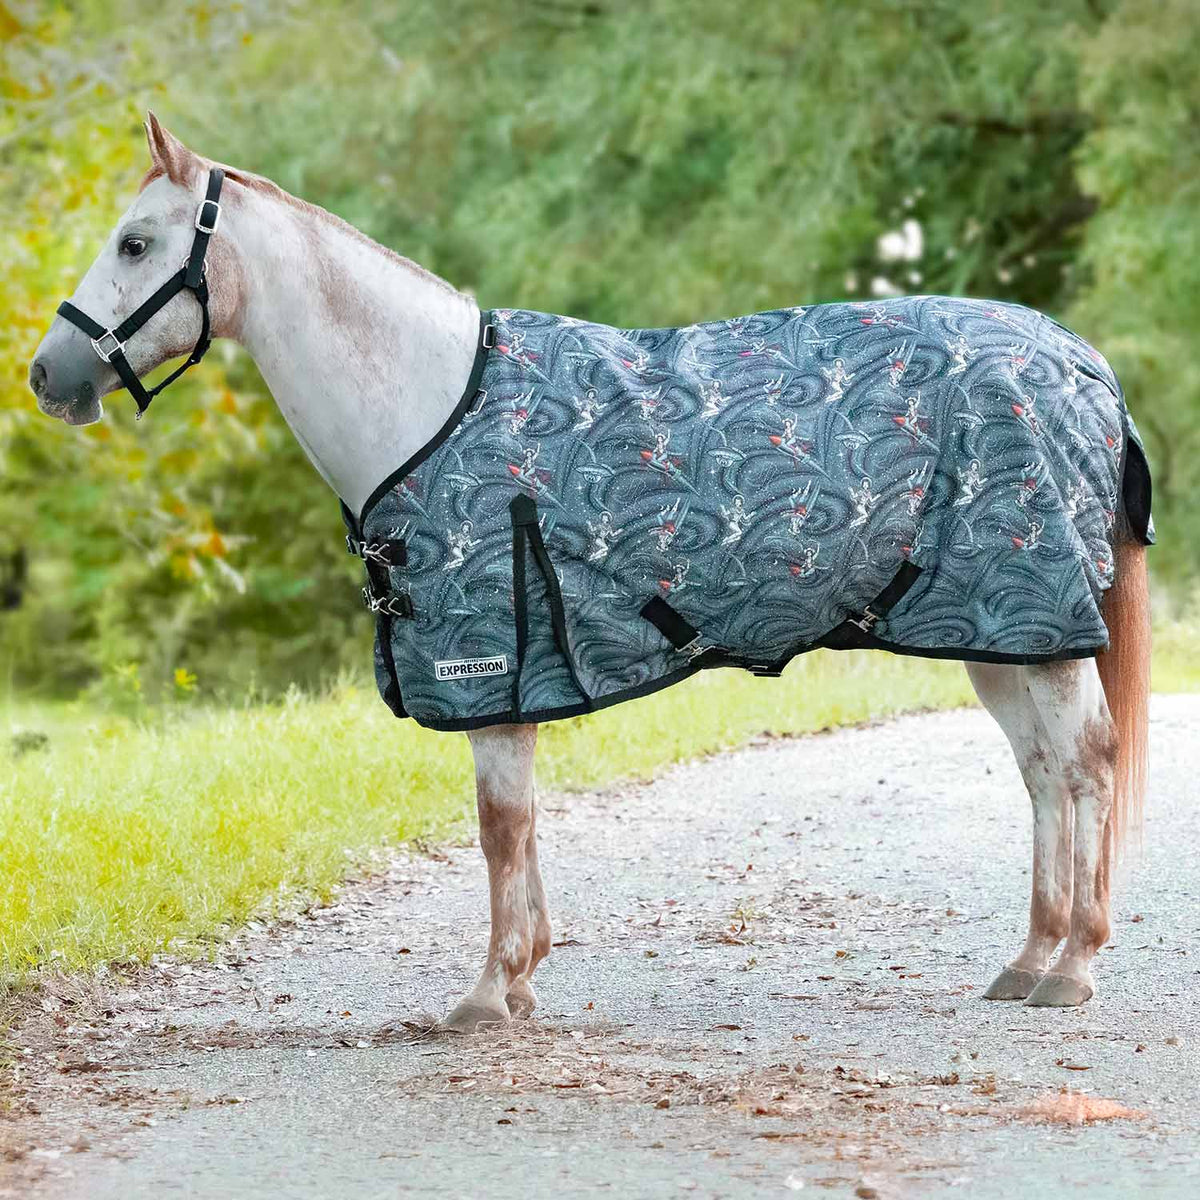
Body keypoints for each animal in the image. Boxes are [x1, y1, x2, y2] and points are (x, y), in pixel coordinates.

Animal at [29, 115, 1151, 1031]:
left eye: (136, 243)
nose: (47, 375)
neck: (429, 407)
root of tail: (1079, 360)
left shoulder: (491, 664)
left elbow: (499, 827)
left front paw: (490, 993)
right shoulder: (506, 673)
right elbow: (517, 828)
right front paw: (522, 978)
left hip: (1037, 619)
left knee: (1087, 763)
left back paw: (1074, 967)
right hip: (997, 635)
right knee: (1043, 772)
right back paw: (1029, 959)